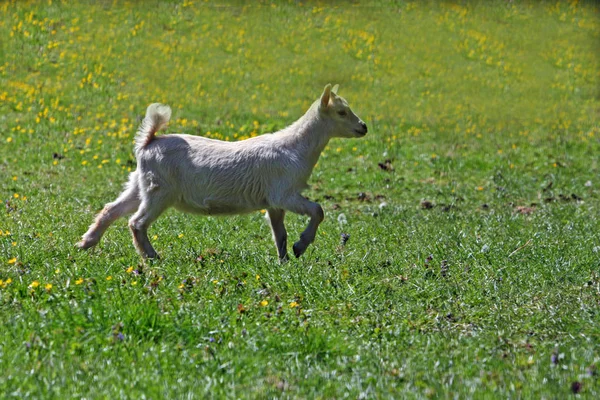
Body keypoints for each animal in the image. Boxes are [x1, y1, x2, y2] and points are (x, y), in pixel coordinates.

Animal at [77, 83, 368, 260]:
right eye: (341, 112)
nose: (363, 127)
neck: (296, 146)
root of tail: (148, 141)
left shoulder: (274, 203)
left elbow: (280, 233)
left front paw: (285, 258)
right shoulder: (284, 193)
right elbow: (318, 210)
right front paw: (301, 246)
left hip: (140, 183)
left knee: (111, 209)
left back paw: (85, 243)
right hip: (160, 190)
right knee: (136, 222)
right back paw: (152, 257)